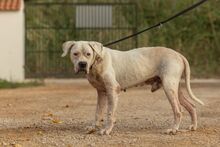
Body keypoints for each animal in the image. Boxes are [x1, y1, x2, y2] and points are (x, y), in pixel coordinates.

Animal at [61, 40, 204, 135]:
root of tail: (178, 54)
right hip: (175, 89)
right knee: (192, 106)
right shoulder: (101, 93)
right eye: (75, 54)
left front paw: (106, 130)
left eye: (88, 54)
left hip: (169, 88)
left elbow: (110, 113)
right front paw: (92, 127)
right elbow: (98, 112)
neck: (97, 61)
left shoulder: (112, 90)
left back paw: (173, 129)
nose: (82, 64)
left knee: (178, 110)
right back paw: (193, 126)